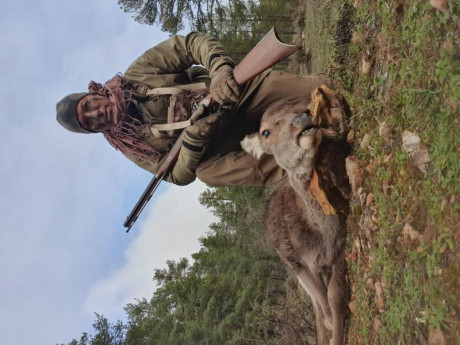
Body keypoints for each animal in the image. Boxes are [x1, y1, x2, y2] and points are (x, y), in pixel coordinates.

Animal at [243, 88, 350, 344]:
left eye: (303, 107)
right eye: (266, 132)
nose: (303, 118)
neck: (321, 237)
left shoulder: (340, 243)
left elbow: (335, 297)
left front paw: (337, 335)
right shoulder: (299, 263)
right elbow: (325, 310)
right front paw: (332, 334)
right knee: (318, 308)